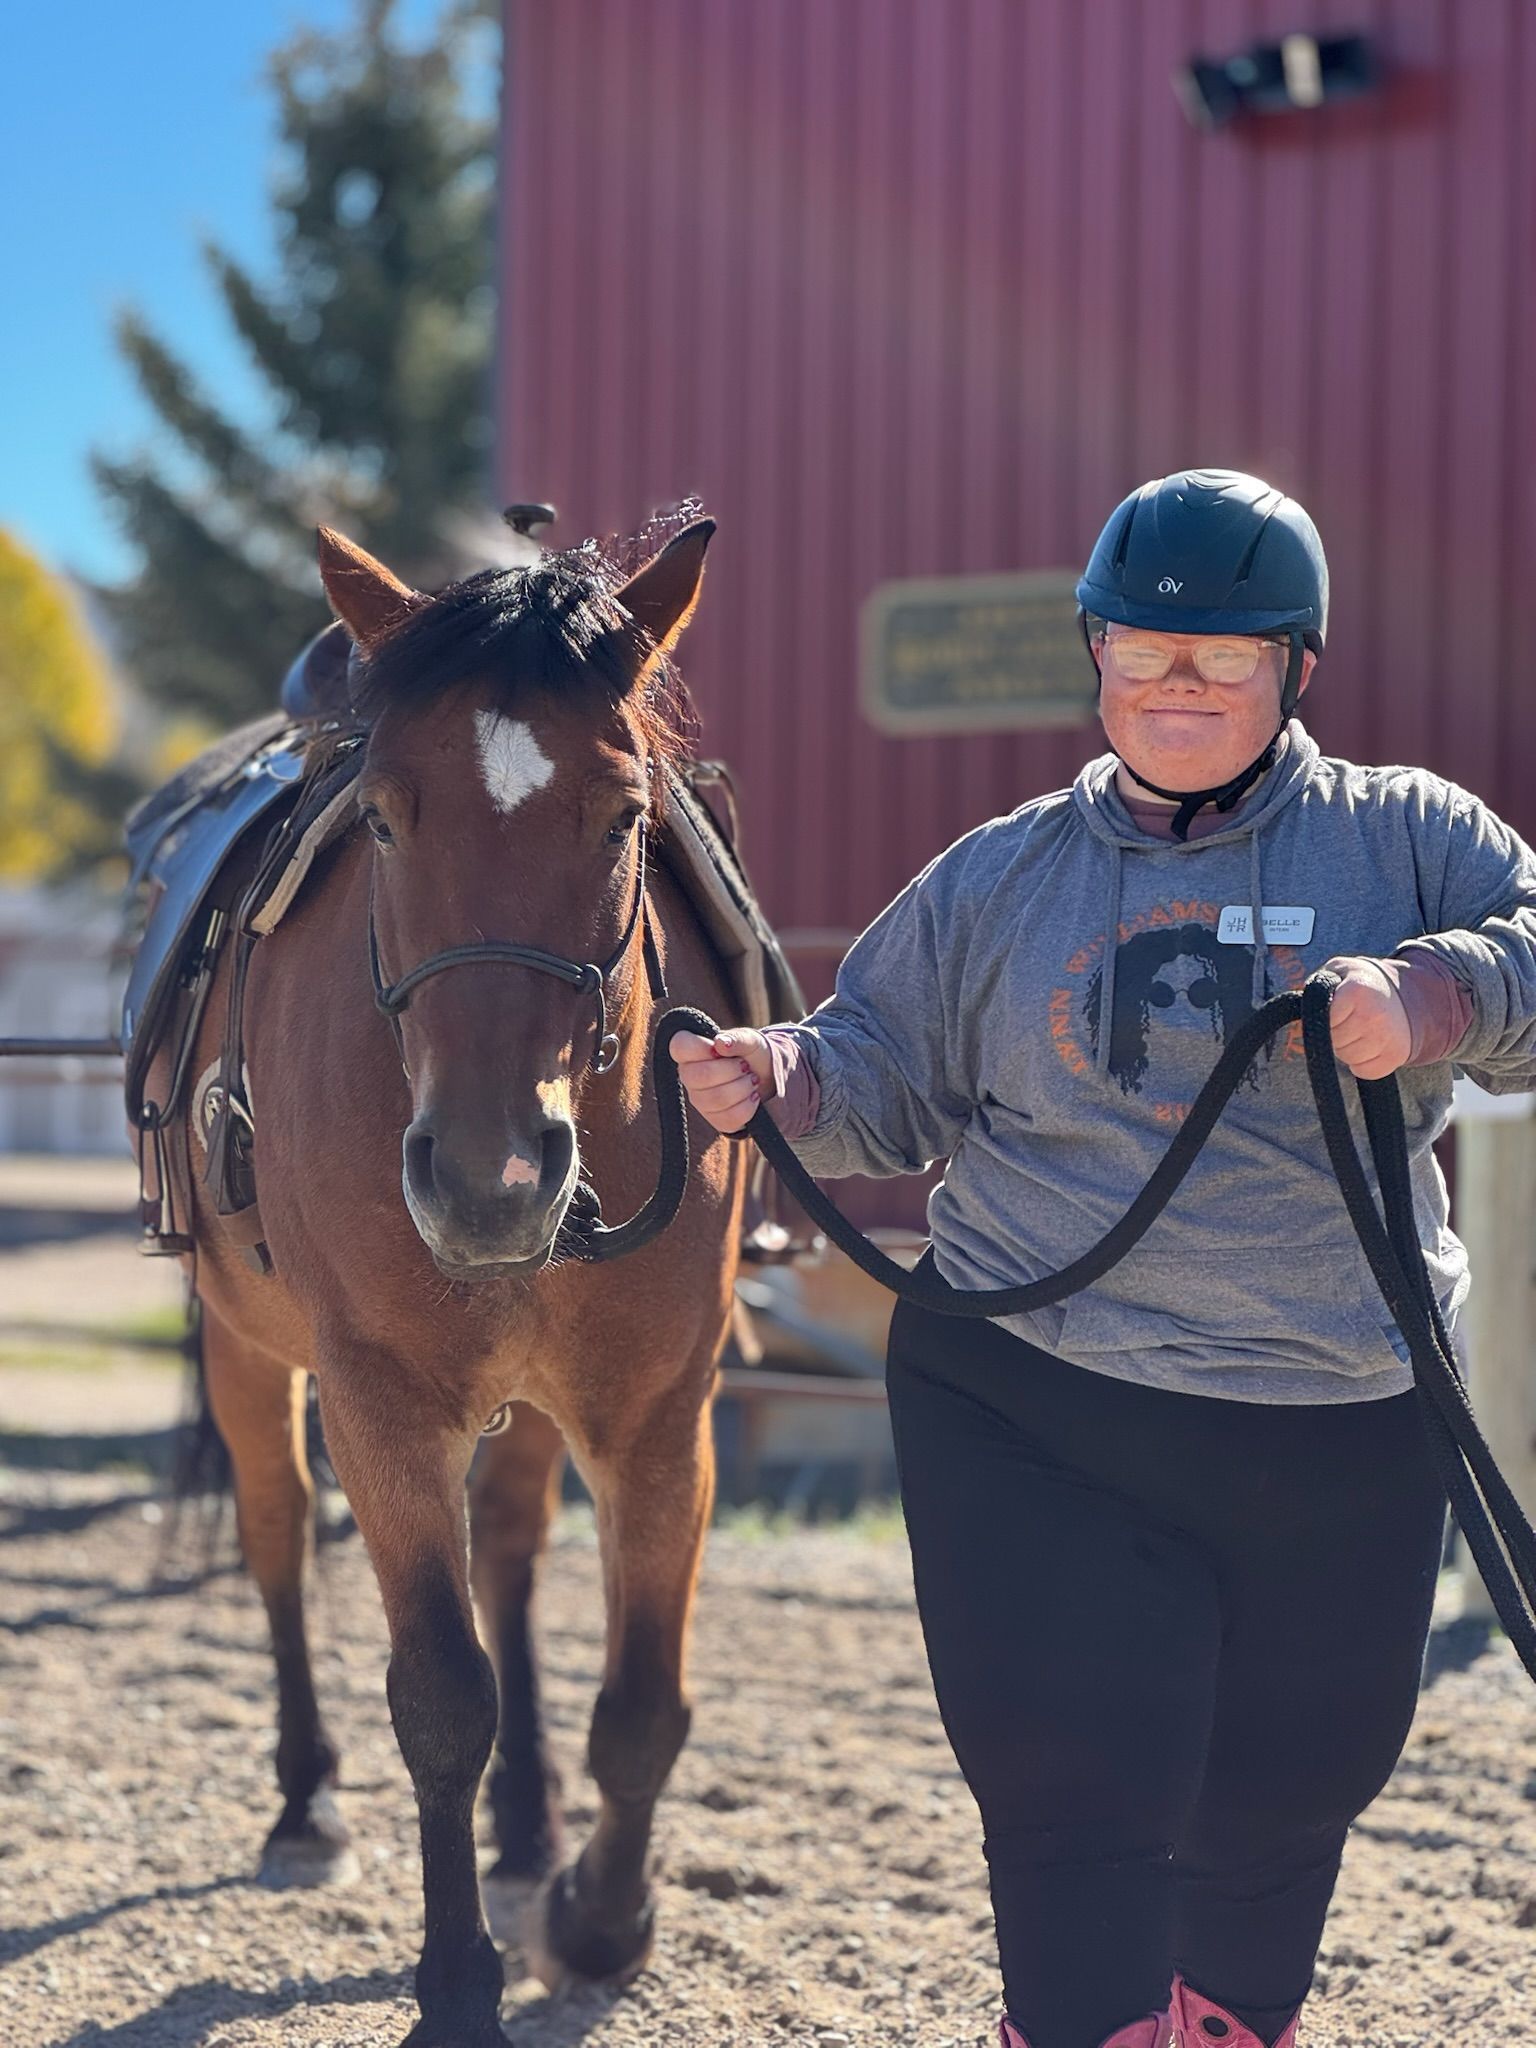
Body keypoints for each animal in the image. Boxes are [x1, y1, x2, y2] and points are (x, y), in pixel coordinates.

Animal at [165, 518, 747, 2047]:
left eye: (623, 818)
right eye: (382, 819)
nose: (492, 1177)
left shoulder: (662, 1418)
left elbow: (642, 1701)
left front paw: (600, 1919)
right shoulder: (381, 1404)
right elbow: (439, 1696)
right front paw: (455, 1987)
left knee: (518, 1557)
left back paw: (531, 1832)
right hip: (249, 1351)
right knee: (274, 1535)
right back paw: (305, 1804)